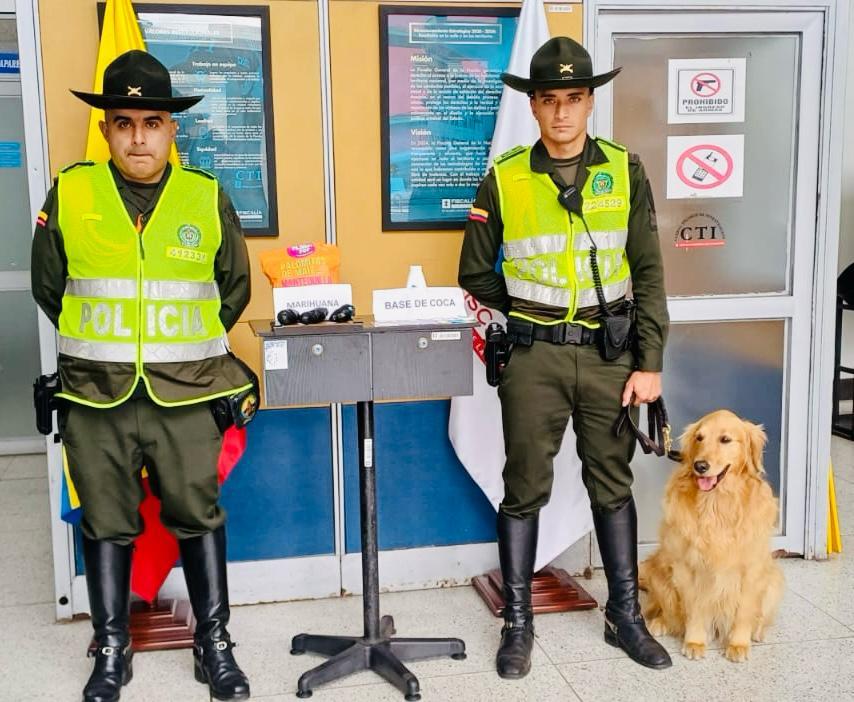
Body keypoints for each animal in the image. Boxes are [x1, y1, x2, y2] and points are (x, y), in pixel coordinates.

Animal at [640, 410, 784, 664]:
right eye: (699, 438)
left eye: (725, 440)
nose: (700, 465)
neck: (717, 503)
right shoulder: (687, 567)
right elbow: (695, 607)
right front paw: (695, 642)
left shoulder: (751, 568)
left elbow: (744, 610)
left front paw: (738, 644)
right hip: (659, 572)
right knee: (667, 609)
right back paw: (660, 623)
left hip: (773, 579)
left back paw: (757, 631)